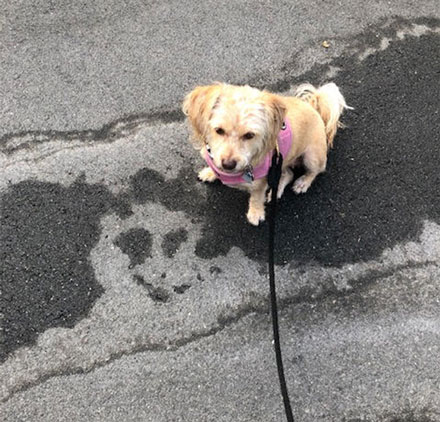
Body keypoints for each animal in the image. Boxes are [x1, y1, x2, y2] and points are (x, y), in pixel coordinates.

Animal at [182, 83, 350, 227]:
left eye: (249, 135)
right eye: (219, 130)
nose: (228, 164)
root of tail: (313, 107)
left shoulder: (260, 183)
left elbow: (256, 197)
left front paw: (255, 213)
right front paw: (210, 172)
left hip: (312, 157)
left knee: (316, 171)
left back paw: (303, 182)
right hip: (281, 161)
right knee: (288, 173)